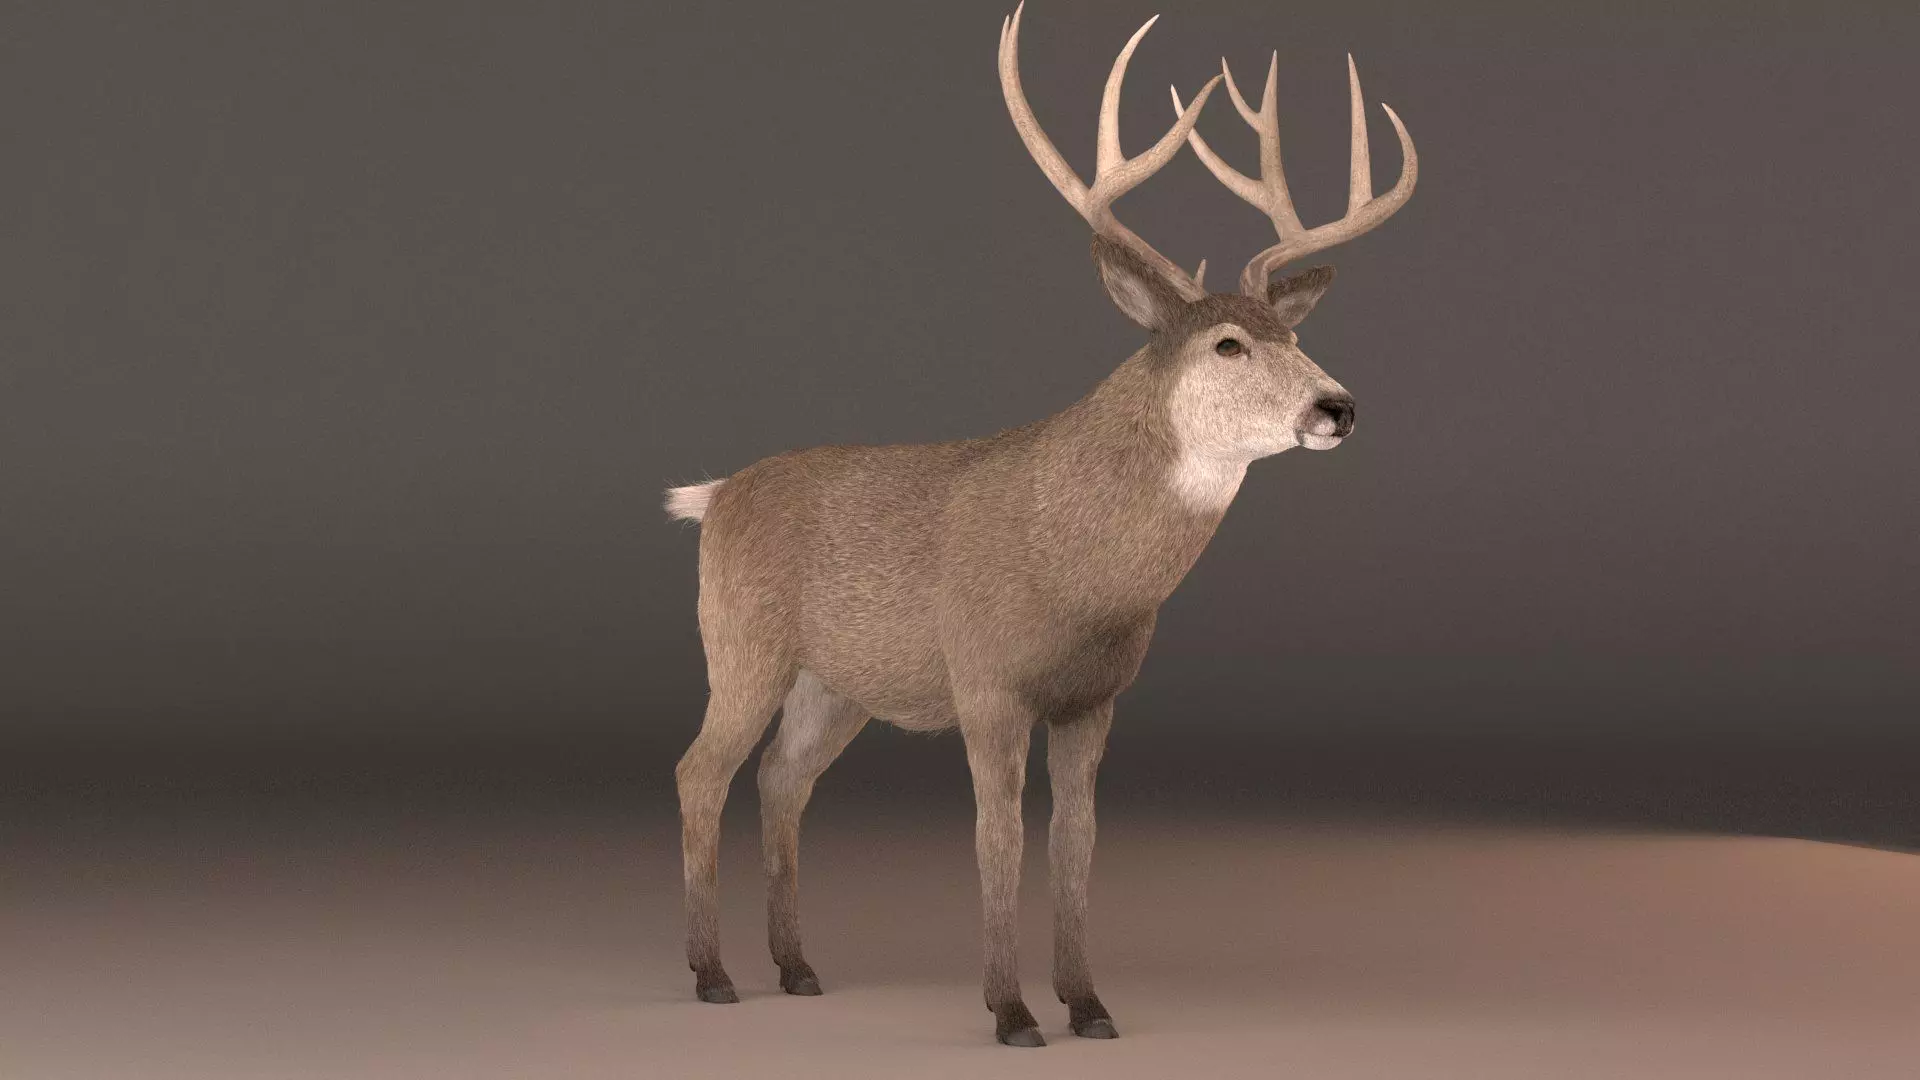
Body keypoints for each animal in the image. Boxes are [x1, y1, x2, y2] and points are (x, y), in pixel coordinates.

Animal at [665, 2, 1416, 1047]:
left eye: (1296, 335)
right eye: (1228, 343)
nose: (1337, 407)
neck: (1079, 573)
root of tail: (716, 495)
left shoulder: (1094, 698)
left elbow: (1076, 840)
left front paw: (1090, 1004)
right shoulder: (987, 681)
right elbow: (998, 837)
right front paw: (1012, 1011)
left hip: (837, 681)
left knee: (782, 778)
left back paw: (797, 967)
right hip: (742, 639)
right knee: (701, 770)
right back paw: (712, 976)